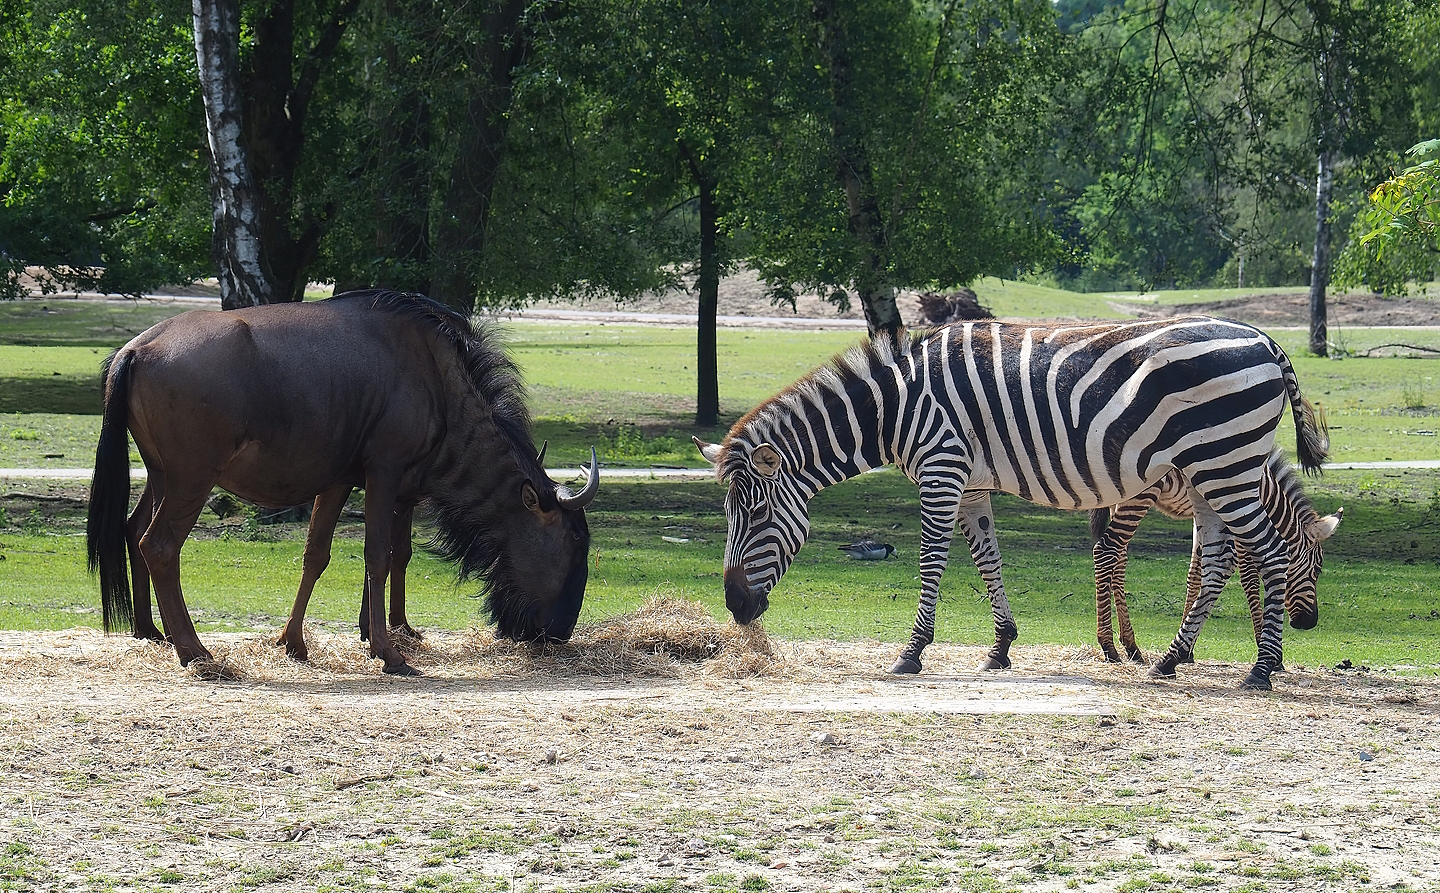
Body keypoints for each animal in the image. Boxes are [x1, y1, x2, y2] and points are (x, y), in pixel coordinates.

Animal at [1090, 448, 1342, 669]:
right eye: (1317, 569)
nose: (1310, 622)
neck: (1266, 492)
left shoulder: (1206, 517)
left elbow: (1195, 574)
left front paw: (1186, 649)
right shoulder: (1239, 519)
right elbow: (1249, 579)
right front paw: (1268, 650)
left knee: (1119, 559)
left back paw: (1131, 646)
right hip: (1141, 495)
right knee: (1106, 551)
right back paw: (1109, 646)